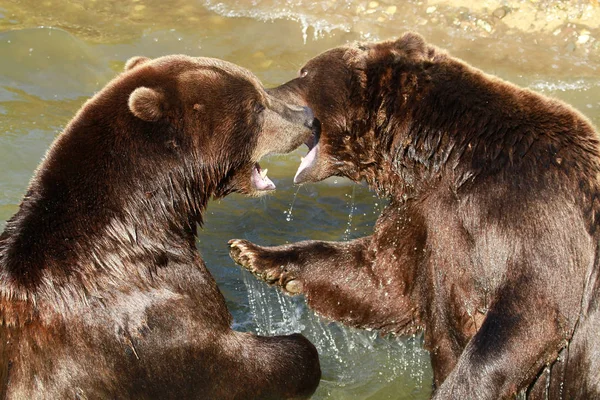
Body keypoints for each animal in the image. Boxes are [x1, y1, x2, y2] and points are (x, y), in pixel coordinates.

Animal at [230, 32, 600, 398]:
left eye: (304, 73)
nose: (266, 93)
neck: (447, 158)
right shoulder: (426, 215)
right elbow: (382, 279)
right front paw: (254, 254)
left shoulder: (534, 205)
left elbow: (534, 309)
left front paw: (457, 389)